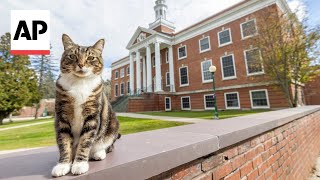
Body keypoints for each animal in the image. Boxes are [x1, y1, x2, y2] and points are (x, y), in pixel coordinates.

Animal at [52, 34, 120, 176]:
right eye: (72, 56)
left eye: (91, 57)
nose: (81, 64)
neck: (79, 83)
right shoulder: (62, 116)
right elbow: (64, 142)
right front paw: (63, 165)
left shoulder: (92, 115)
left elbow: (85, 141)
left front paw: (79, 164)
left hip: (113, 124)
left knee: (108, 145)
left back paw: (98, 153)